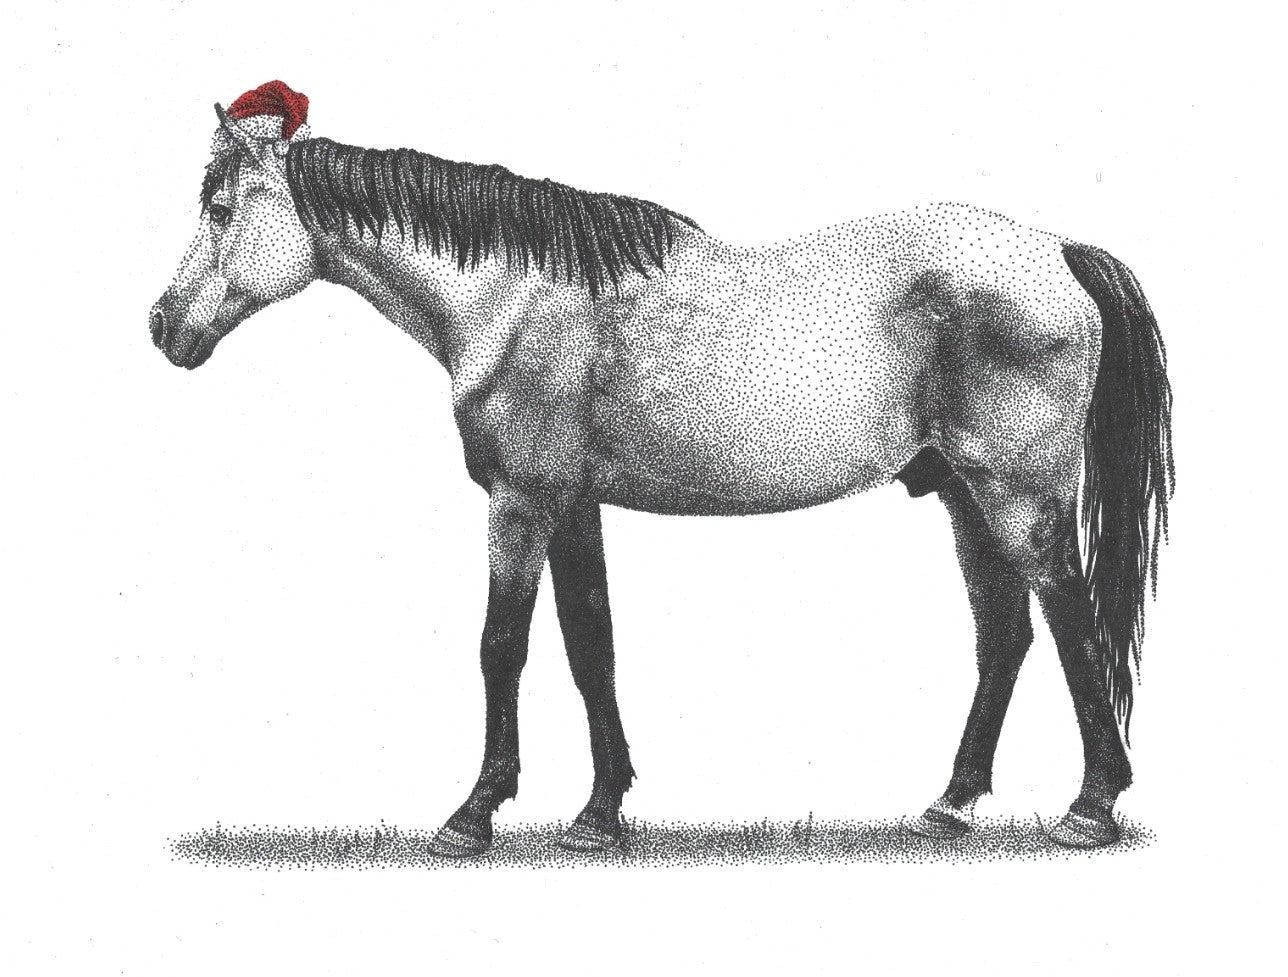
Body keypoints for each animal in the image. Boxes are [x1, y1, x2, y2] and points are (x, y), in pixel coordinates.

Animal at [150, 82, 1173, 856]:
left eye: (219, 206)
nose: (162, 325)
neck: (514, 297)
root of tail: (1056, 252)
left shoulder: (521, 504)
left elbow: (502, 646)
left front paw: (472, 815)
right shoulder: (572, 506)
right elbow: (590, 645)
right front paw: (599, 813)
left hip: (1020, 497)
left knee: (1070, 619)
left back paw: (1090, 807)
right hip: (962, 494)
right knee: (1004, 635)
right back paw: (950, 803)